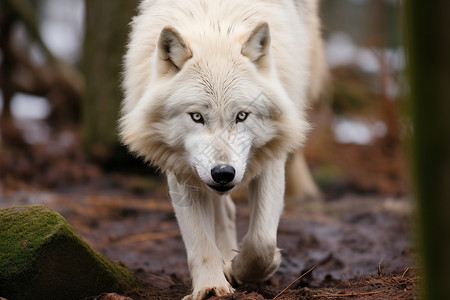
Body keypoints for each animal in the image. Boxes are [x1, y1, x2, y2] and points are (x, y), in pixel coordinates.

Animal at [119, 1, 326, 298]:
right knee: (224, 211)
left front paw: (240, 269)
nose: (223, 173)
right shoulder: (182, 170)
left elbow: (261, 242)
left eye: (241, 116)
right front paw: (211, 286)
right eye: (196, 117)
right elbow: (200, 243)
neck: (214, 21)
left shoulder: (272, 157)